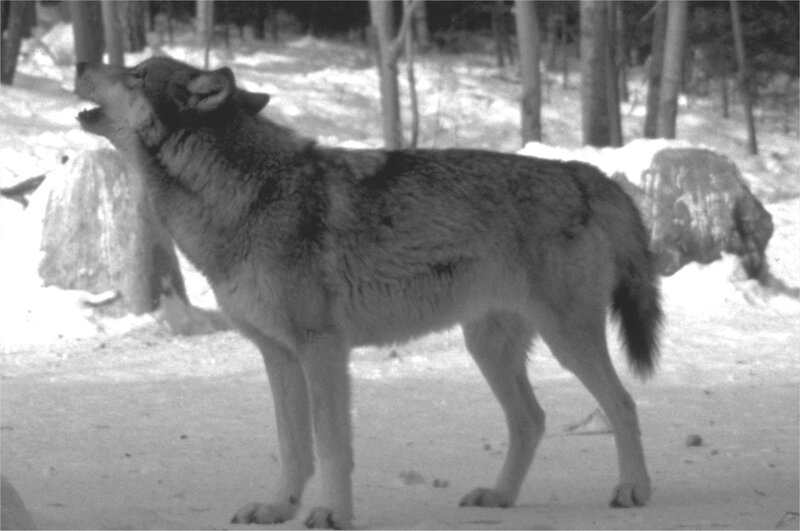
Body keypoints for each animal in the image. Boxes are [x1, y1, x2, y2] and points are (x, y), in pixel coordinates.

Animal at [75, 57, 662, 529]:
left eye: (136, 73)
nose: (81, 62)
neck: (249, 195)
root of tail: (584, 172)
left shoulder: (322, 350)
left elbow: (331, 445)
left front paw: (332, 513)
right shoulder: (279, 356)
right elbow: (293, 447)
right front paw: (278, 508)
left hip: (567, 341)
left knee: (624, 403)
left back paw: (634, 489)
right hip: (488, 349)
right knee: (532, 420)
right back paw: (499, 496)